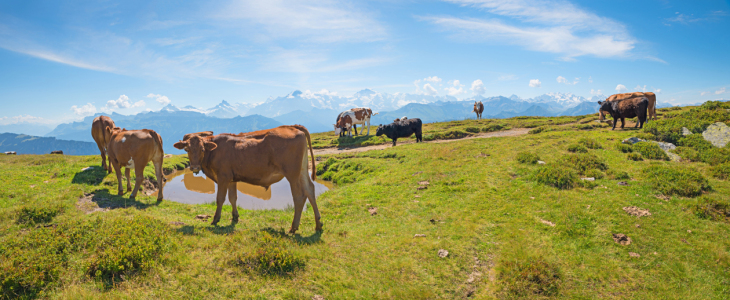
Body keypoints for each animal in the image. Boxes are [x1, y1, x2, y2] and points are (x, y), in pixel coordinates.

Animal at [173, 125, 322, 233]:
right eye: (187, 149)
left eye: (202, 149)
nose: (194, 167)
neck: (214, 152)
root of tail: (293, 127)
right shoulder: (231, 179)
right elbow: (233, 198)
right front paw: (235, 217)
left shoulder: (223, 177)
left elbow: (220, 198)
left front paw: (215, 219)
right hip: (302, 171)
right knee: (310, 190)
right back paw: (318, 224)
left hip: (292, 174)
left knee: (299, 196)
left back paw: (294, 227)